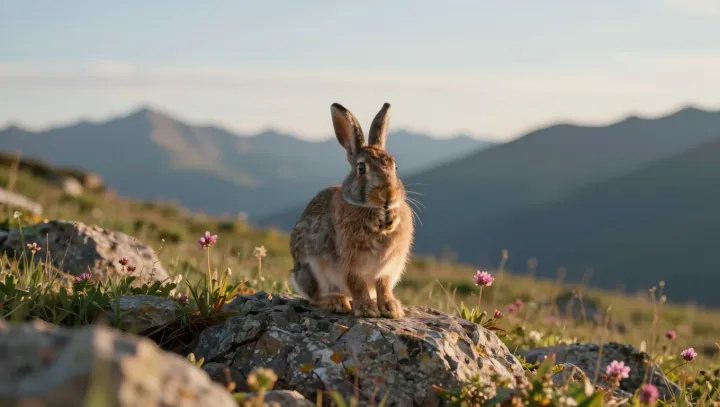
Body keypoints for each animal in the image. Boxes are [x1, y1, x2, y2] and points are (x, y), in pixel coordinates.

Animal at [289, 102, 414, 319]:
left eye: (395, 167)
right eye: (361, 168)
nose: (388, 195)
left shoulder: (388, 269)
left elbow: (384, 286)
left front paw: (391, 308)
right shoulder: (349, 264)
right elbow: (357, 285)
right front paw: (367, 309)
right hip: (310, 271)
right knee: (315, 297)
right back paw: (335, 301)